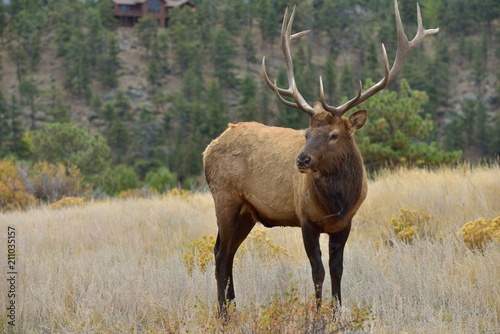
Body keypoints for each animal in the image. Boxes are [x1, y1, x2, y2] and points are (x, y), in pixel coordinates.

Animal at [203, 0, 438, 314]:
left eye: (334, 135)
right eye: (306, 132)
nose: (302, 161)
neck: (336, 203)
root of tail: (208, 149)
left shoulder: (345, 223)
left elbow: (337, 269)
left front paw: (337, 311)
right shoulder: (306, 220)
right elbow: (318, 271)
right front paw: (317, 314)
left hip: (248, 212)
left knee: (228, 252)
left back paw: (234, 308)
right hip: (225, 198)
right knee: (219, 253)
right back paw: (223, 314)